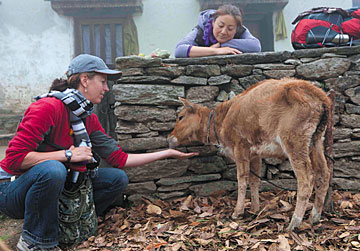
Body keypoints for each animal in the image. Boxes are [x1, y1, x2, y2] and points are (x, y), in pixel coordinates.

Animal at [169, 78, 332, 231]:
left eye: (180, 117)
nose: (169, 138)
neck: (223, 120)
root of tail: (320, 96)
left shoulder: (240, 147)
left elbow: (242, 180)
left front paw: (237, 211)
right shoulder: (255, 154)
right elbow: (255, 180)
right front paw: (255, 208)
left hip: (295, 142)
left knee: (306, 179)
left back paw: (294, 222)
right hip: (316, 141)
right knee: (323, 174)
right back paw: (314, 217)